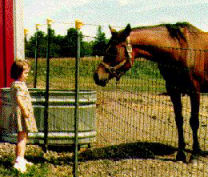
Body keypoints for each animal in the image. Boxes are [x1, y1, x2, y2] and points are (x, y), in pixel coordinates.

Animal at [93, 22, 208, 162]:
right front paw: (180, 153)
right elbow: (179, 120)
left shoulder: (194, 91)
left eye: (113, 51)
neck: (180, 49)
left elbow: (194, 122)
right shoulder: (173, 91)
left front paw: (195, 154)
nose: (97, 76)